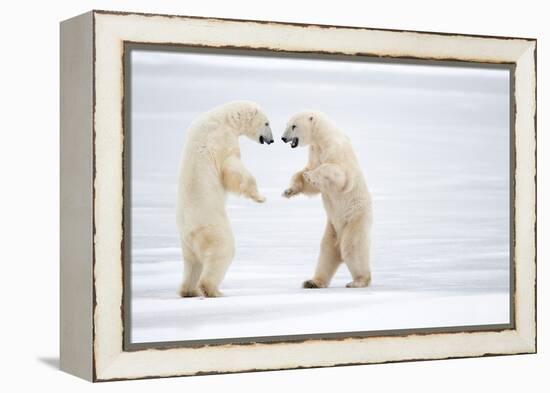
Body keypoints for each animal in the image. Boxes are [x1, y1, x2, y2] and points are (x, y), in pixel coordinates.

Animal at [176, 99, 274, 296]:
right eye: (267, 123)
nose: (271, 139)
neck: (224, 117)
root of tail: (190, 232)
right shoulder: (221, 139)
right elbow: (232, 168)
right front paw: (260, 197)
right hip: (213, 228)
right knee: (222, 251)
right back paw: (211, 290)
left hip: (186, 243)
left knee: (192, 264)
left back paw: (188, 290)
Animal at [280, 110, 376, 288]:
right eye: (287, 124)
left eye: (294, 126)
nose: (283, 138)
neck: (322, 137)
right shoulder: (314, 151)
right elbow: (309, 180)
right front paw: (289, 190)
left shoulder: (335, 149)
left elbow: (338, 173)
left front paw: (310, 175)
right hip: (331, 227)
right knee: (326, 252)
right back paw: (312, 282)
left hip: (355, 218)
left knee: (352, 247)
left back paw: (358, 281)